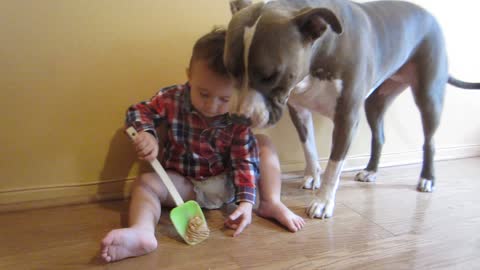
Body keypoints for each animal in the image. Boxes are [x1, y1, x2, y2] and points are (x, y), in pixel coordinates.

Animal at [225, 0, 480, 219]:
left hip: (428, 97)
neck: (322, 50)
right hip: (375, 103)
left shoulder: (346, 118)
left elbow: (334, 165)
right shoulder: (299, 111)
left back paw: (427, 178)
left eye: (271, 76)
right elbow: (309, 147)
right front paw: (312, 175)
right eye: (230, 70)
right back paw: (371, 170)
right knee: (379, 136)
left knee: (430, 141)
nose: (240, 117)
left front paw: (323, 201)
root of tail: (430, 16)